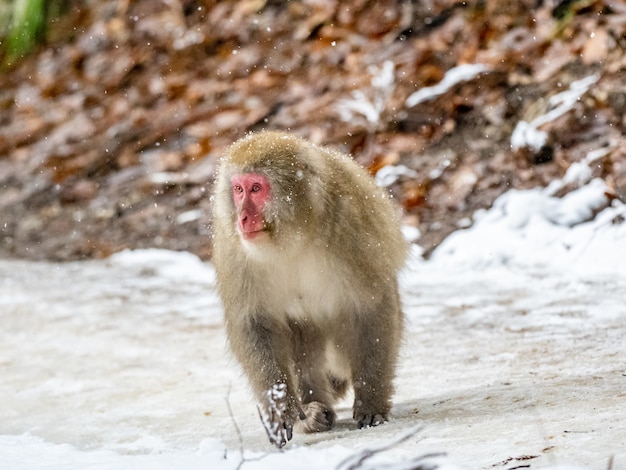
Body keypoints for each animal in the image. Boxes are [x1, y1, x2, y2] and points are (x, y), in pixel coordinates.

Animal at [212, 130, 408, 446]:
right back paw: (314, 413)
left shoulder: (351, 225)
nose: (242, 218)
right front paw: (281, 409)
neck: (295, 235)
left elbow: (371, 304)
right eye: (238, 190)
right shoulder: (235, 250)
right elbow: (256, 323)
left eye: (256, 188)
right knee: (304, 331)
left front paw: (371, 402)